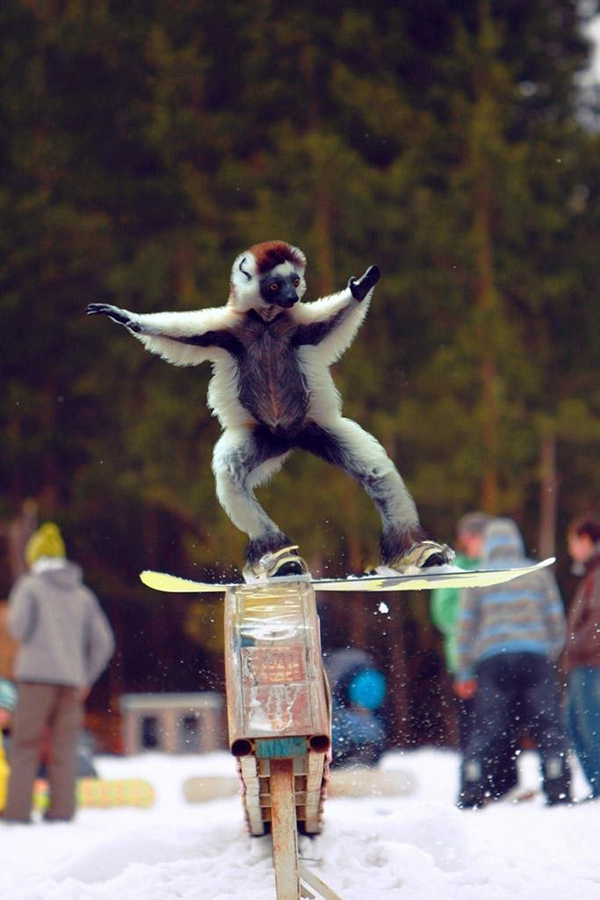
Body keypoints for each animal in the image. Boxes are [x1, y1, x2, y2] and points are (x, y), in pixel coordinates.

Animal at [87, 240, 452, 580]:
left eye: (295, 280)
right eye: (276, 285)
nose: (291, 296)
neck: (265, 322)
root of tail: (288, 438)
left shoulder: (296, 327)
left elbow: (329, 323)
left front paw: (360, 289)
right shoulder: (227, 331)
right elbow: (182, 333)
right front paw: (128, 318)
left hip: (313, 426)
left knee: (375, 473)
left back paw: (416, 551)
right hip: (264, 435)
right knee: (232, 474)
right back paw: (278, 556)